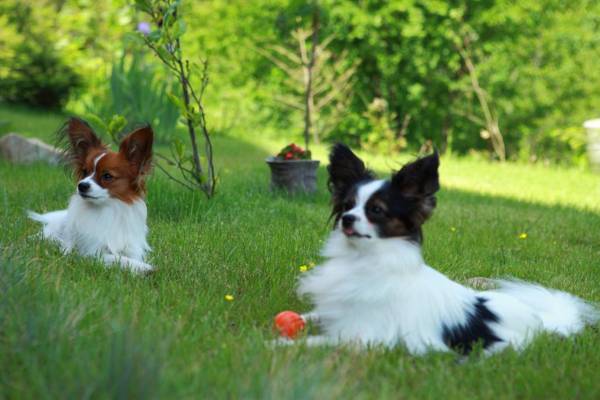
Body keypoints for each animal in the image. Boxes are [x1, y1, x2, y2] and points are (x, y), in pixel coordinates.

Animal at [298, 144, 596, 354]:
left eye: (376, 210)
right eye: (347, 206)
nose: (347, 219)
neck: (362, 258)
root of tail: (540, 321)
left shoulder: (363, 335)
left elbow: (314, 342)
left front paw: (285, 346)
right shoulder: (337, 312)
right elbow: (310, 316)